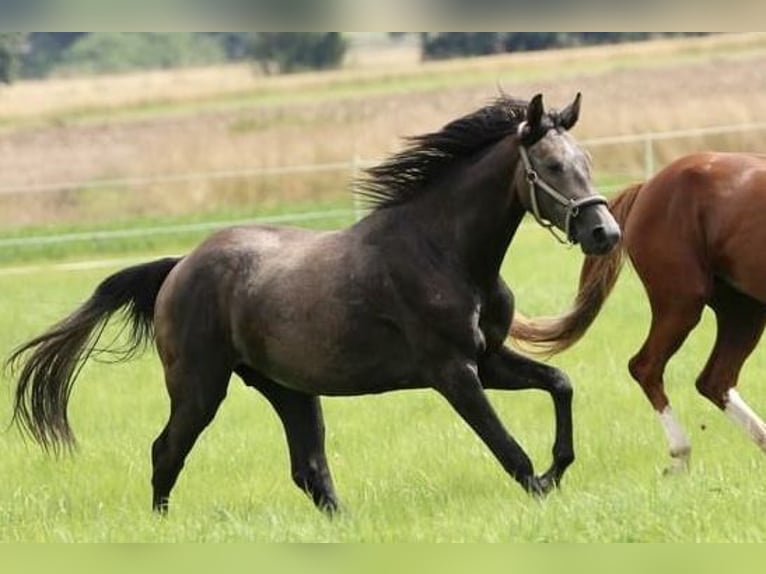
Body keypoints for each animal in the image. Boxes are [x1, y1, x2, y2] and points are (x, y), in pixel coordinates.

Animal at [9, 92, 624, 516]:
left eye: (587, 160)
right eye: (551, 167)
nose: (605, 233)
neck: (445, 253)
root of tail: (178, 267)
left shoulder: (490, 359)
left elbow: (560, 384)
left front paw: (559, 468)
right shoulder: (453, 372)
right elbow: (506, 446)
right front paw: (542, 488)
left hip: (288, 389)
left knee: (309, 470)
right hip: (200, 387)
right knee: (167, 451)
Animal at [510, 152, 766, 472]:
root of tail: (646, 187)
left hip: (744, 310)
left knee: (714, 380)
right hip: (682, 302)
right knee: (646, 366)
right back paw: (680, 453)